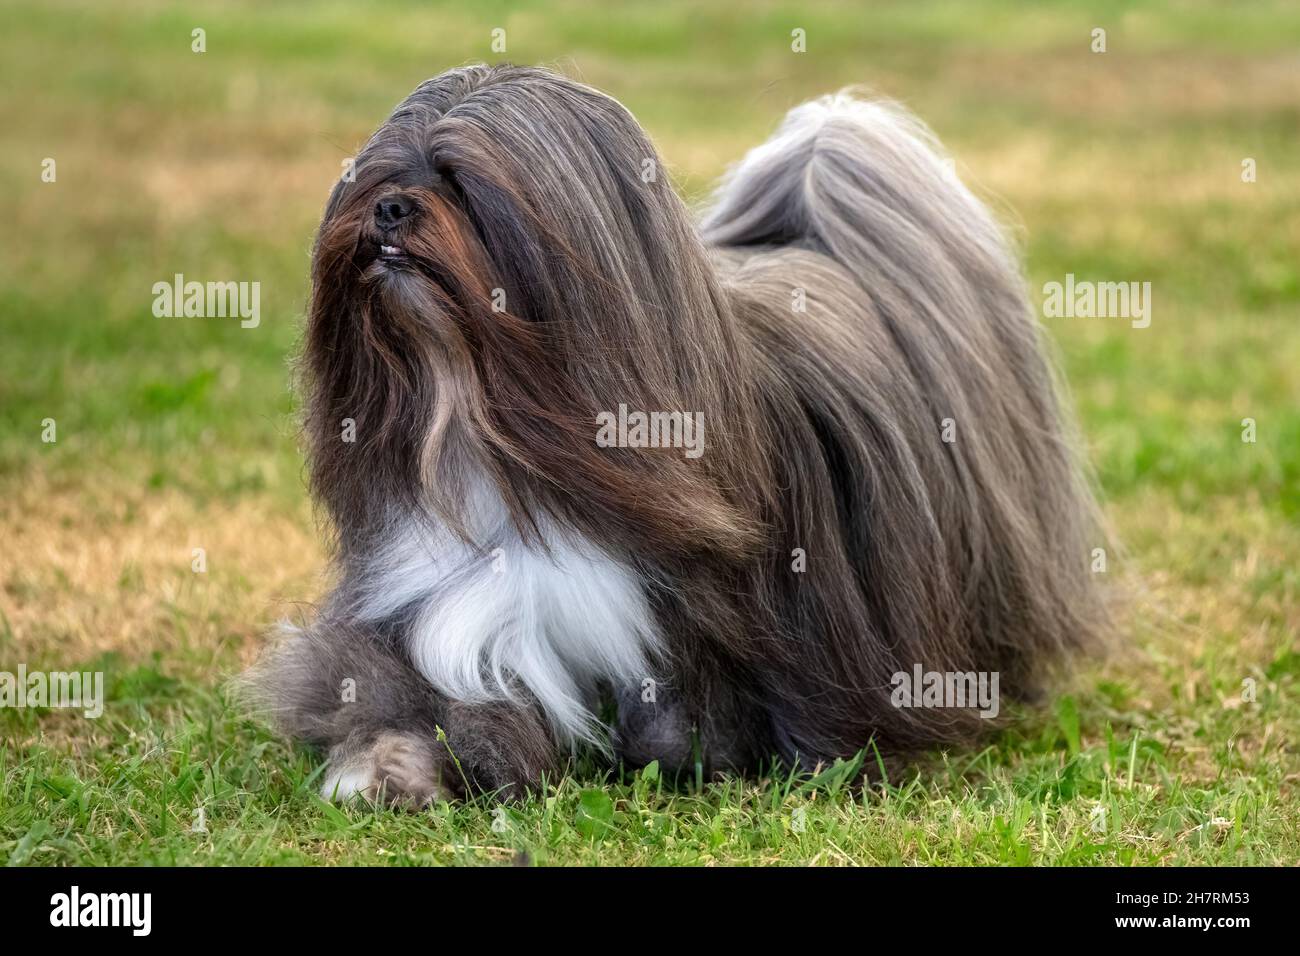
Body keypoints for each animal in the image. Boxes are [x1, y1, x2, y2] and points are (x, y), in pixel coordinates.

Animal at [245, 63, 1107, 806]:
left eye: (460, 183)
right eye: (378, 176)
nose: (390, 208)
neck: (487, 419)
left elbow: (684, 722)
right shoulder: (448, 607)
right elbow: (408, 697)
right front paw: (386, 769)